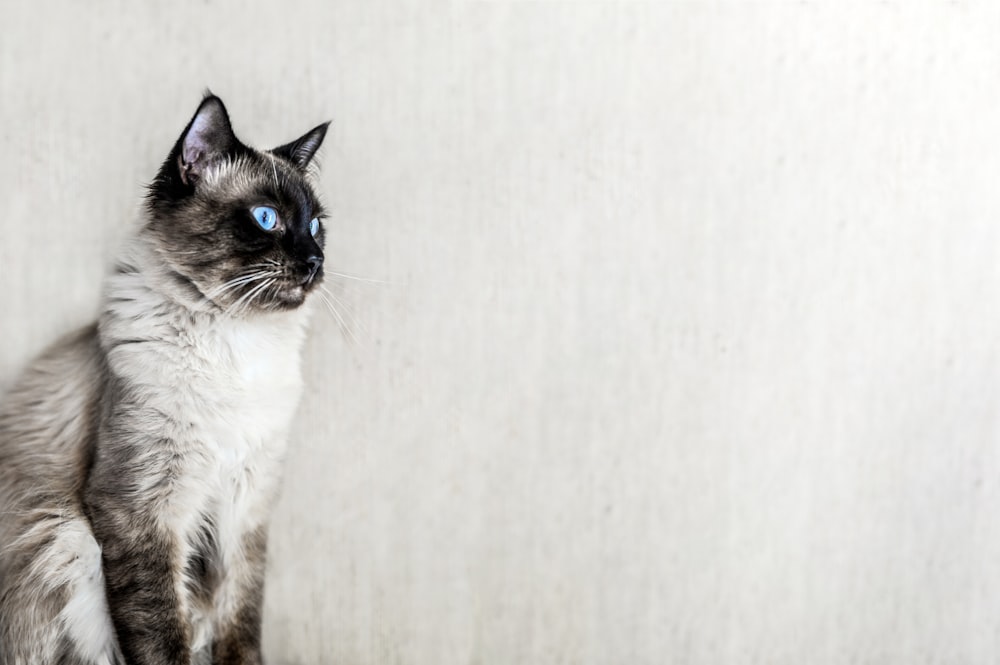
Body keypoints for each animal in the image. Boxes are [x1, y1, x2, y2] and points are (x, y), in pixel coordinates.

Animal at [0, 94, 334, 664]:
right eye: (266, 218)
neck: (237, 344)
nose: (315, 261)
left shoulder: (246, 508)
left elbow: (241, 626)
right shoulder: (142, 508)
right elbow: (160, 632)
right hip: (65, 539)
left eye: (315, 227)